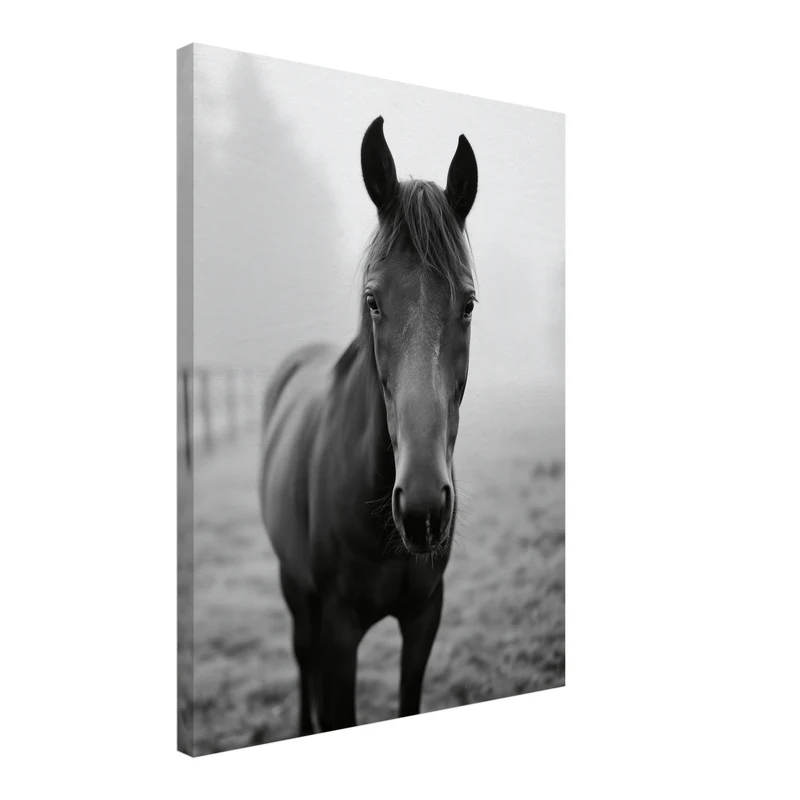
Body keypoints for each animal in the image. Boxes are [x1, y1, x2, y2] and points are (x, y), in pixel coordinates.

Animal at [258, 116, 479, 735]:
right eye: (373, 300)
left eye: (469, 303)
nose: (423, 509)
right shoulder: (339, 634)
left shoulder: (425, 619)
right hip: (294, 587)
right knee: (301, 654)